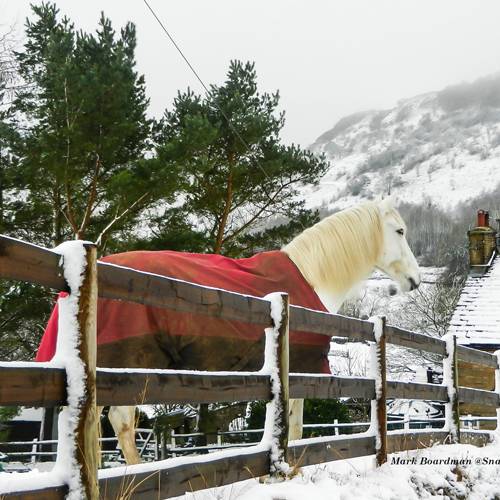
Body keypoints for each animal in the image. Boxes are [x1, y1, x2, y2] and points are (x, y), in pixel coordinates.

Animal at [106, 197, 422, 462]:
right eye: (400, 231)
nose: (415, 279)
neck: (311, 277)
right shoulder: (300, 371)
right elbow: (294, 429)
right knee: (121, 421)